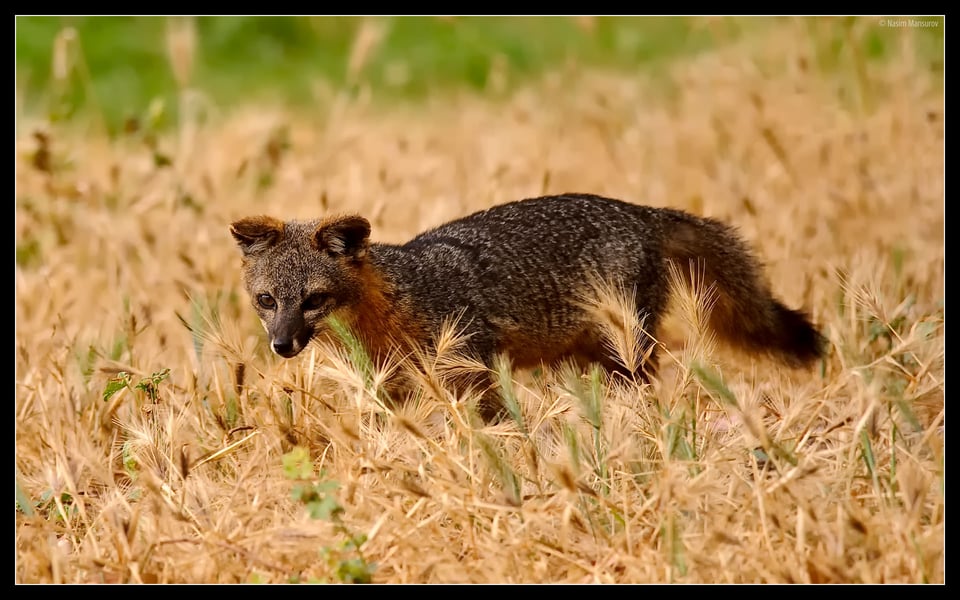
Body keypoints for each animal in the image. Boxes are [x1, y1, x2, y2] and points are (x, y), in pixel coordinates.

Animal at [231, 195, 824, 420]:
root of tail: (643, 211)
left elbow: (491, 425)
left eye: (314, 300)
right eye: (267, 301)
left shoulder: (472, 368)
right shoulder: (392, 389)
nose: (281, 345)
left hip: (625, 350)